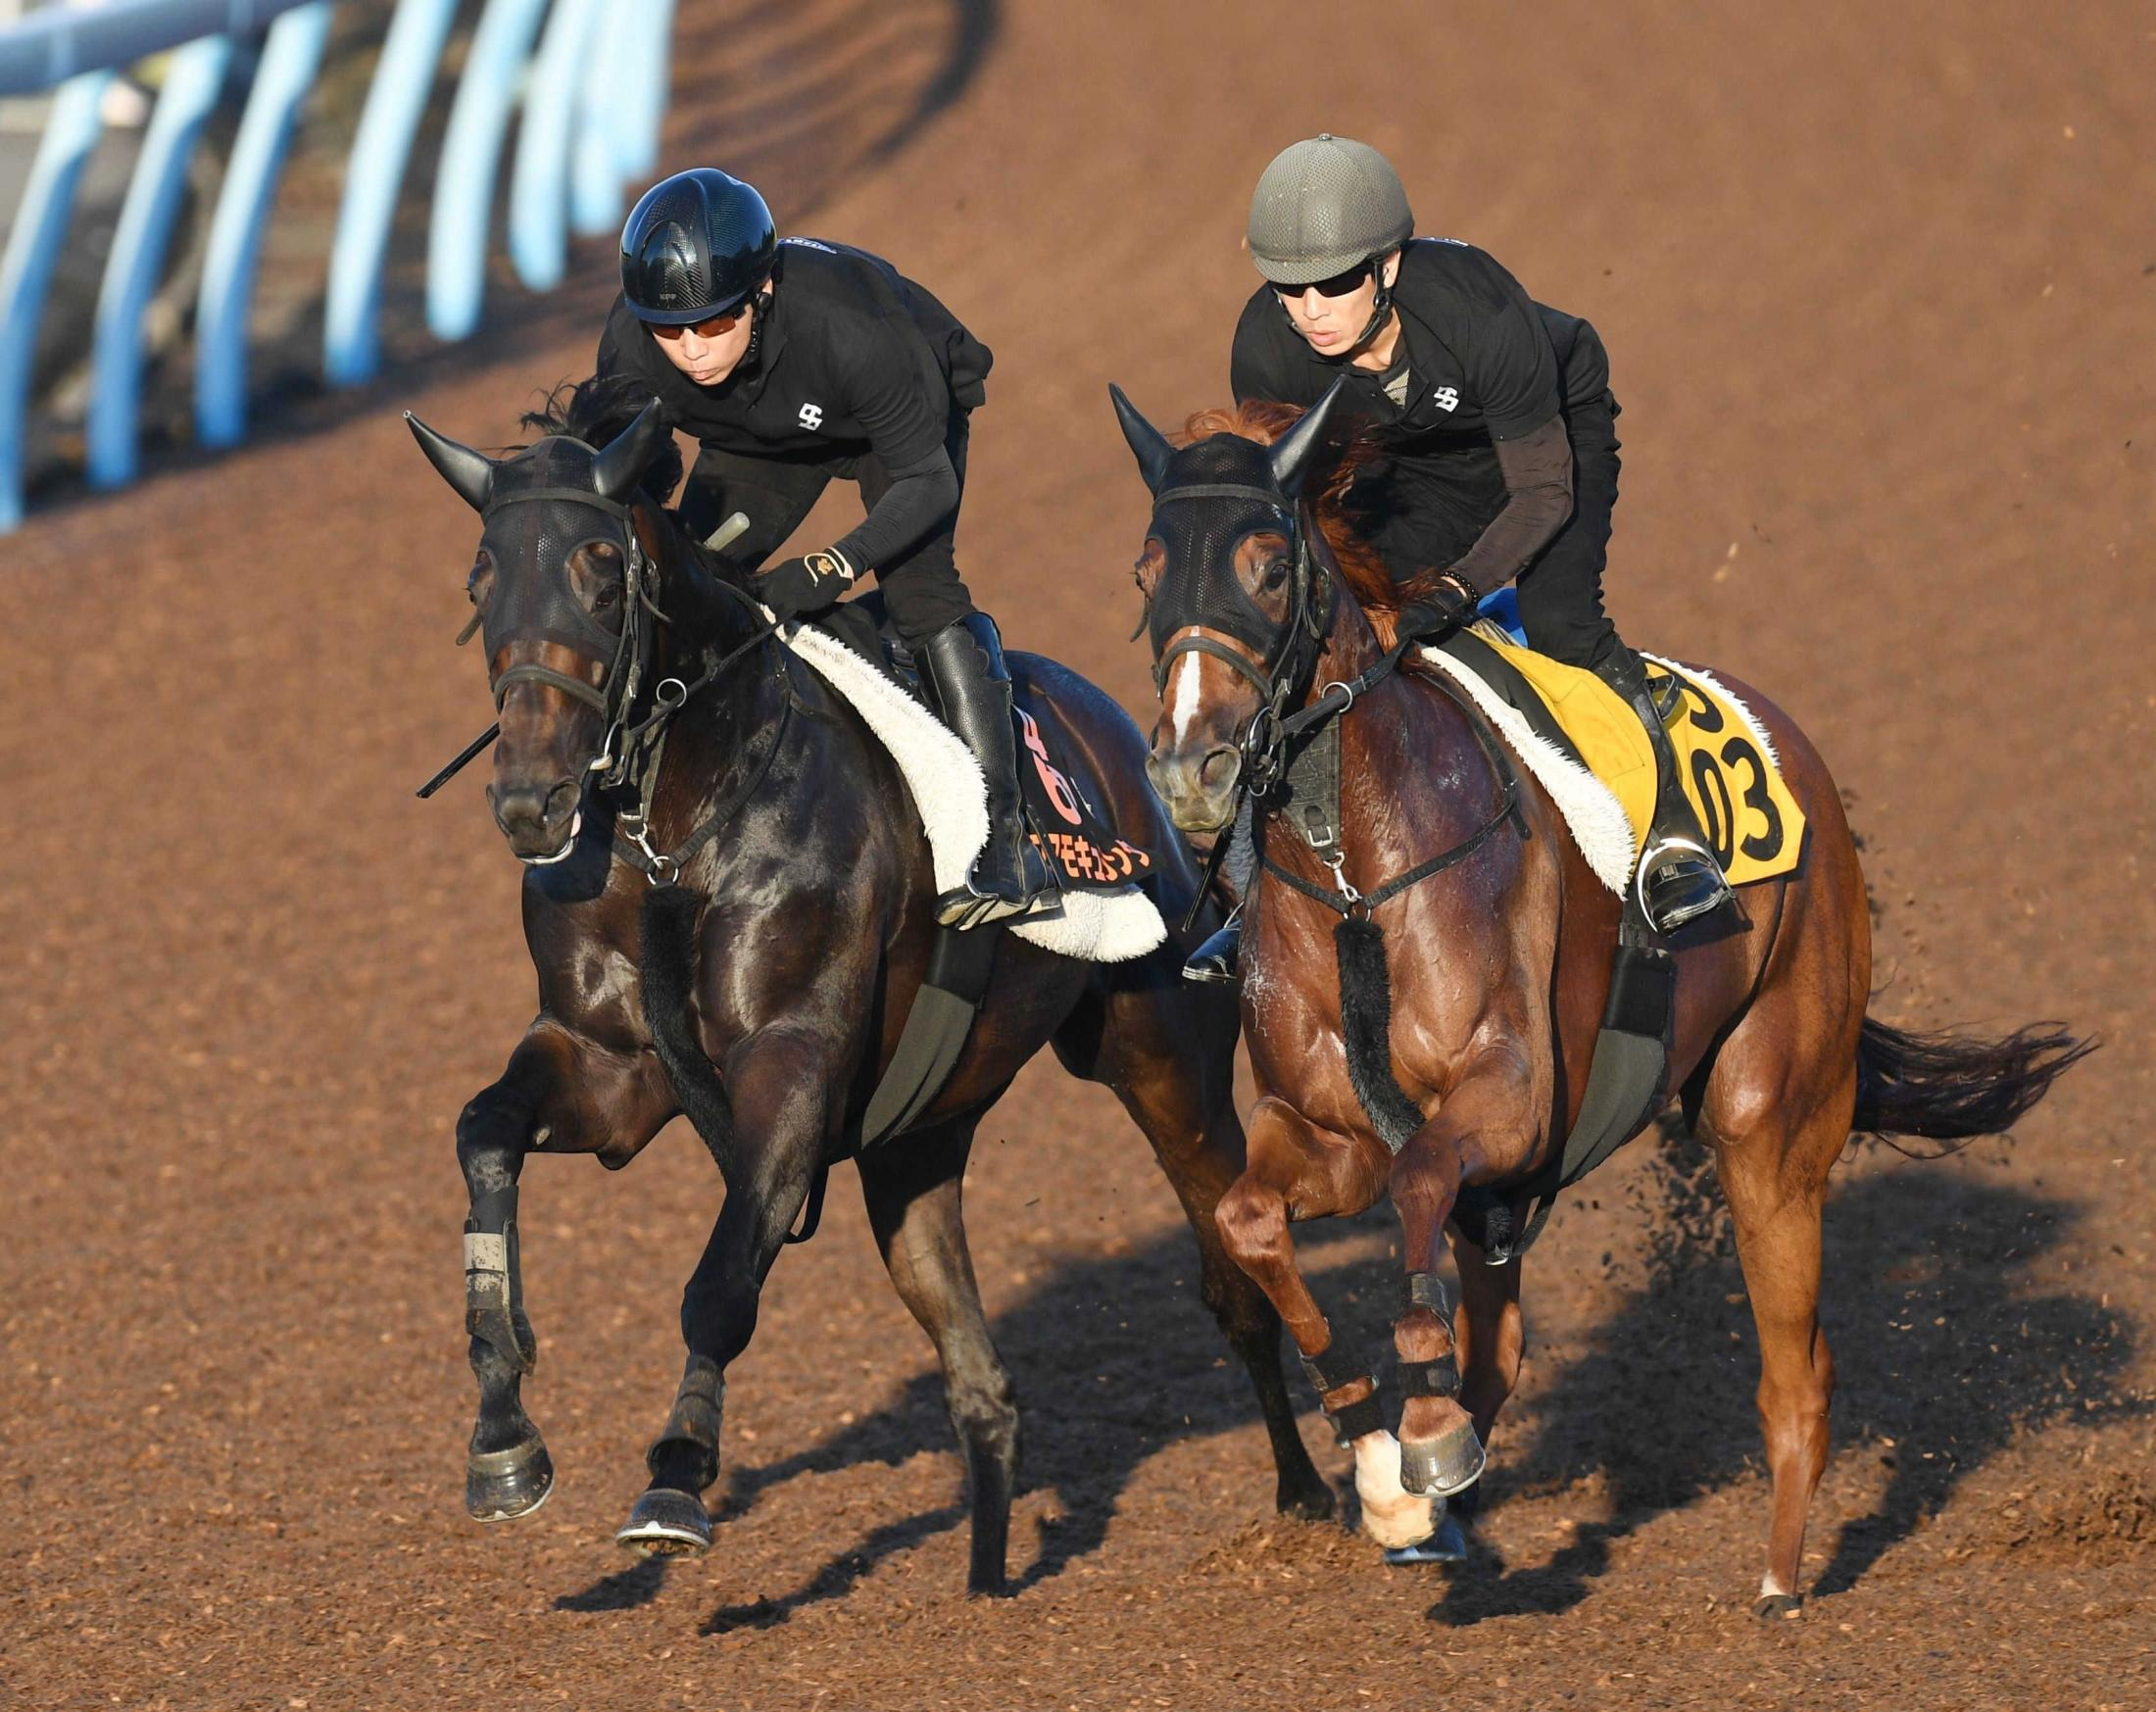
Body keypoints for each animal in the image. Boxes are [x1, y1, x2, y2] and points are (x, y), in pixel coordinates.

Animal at [396, 379, 1319, 1595]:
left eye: (600, 566)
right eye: (480, 579)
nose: (530, 800)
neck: (675, 830)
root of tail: (1135, 745)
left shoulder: (792, 1063)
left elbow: (719, 1282)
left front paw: (675, 1478)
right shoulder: (609, 1070)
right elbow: (481, 1134)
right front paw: (503, 1431)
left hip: (1162, 1063)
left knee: (1237, 1280)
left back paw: (1317, 1496)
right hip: (913, 1143)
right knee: (982, 1385)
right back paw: (985, 1584)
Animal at [1112, 379, 2086, 1603]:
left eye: (1270, 567)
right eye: (1144, 572)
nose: (1189, 766)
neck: (1348, 868)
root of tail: (1793, 749)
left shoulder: (1510, 1100)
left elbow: (1419, 1181)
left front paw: (1419, 1431)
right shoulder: (1328, 1131)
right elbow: (1251, 1219)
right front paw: (1382, 1465)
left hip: (1769, 1117)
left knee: (1797, 1373)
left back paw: (1778, 1580)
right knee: (1503, 1346)